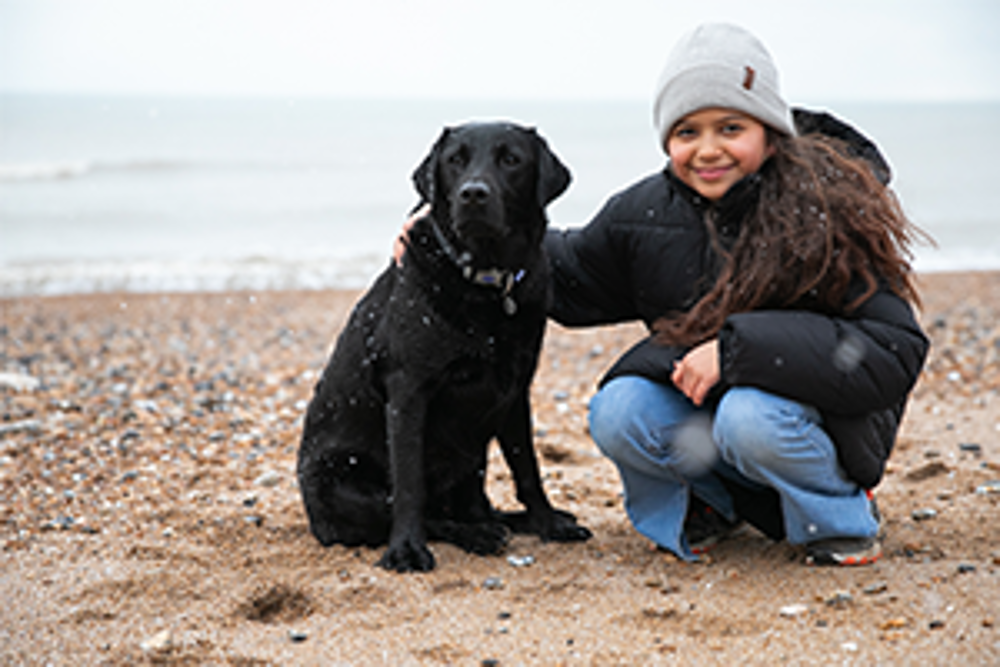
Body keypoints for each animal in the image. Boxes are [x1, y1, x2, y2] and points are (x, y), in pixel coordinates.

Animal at [296, 122, 592, 572]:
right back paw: (477, 534)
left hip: (471, 460)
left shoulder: (515, 390)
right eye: (455, 160)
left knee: (476, 504)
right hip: (339, 482)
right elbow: (409, 484)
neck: (487, 283)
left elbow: (528, 468)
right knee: (422, 513)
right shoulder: (408, 391)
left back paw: (503, 521)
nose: (472, 194)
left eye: (512, 159)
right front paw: (406, 549)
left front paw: (549, 523)